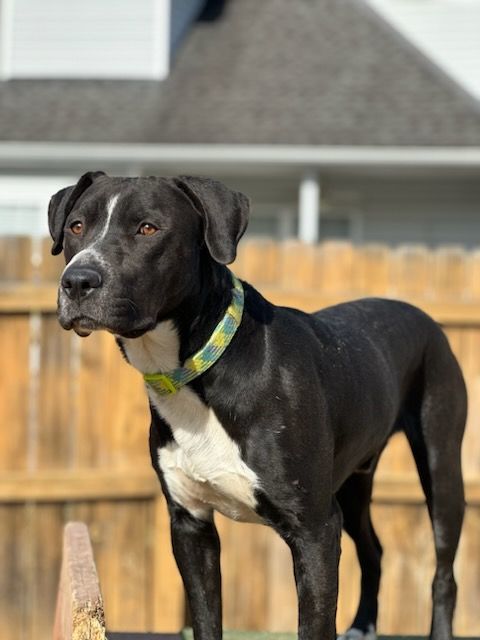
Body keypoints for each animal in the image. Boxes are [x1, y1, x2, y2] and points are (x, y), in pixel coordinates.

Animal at [47, 171, 464, 640]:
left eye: (148, 228)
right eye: (76, 226)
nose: (78, 280)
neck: (196, 369)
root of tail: (426, 319)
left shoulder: (315, 530)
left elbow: (313, 624)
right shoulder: (191, 526)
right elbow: (206, 619)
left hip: (442, 468)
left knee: (444, 572)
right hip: (354, 481)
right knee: (373, 549)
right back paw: (362, 625)